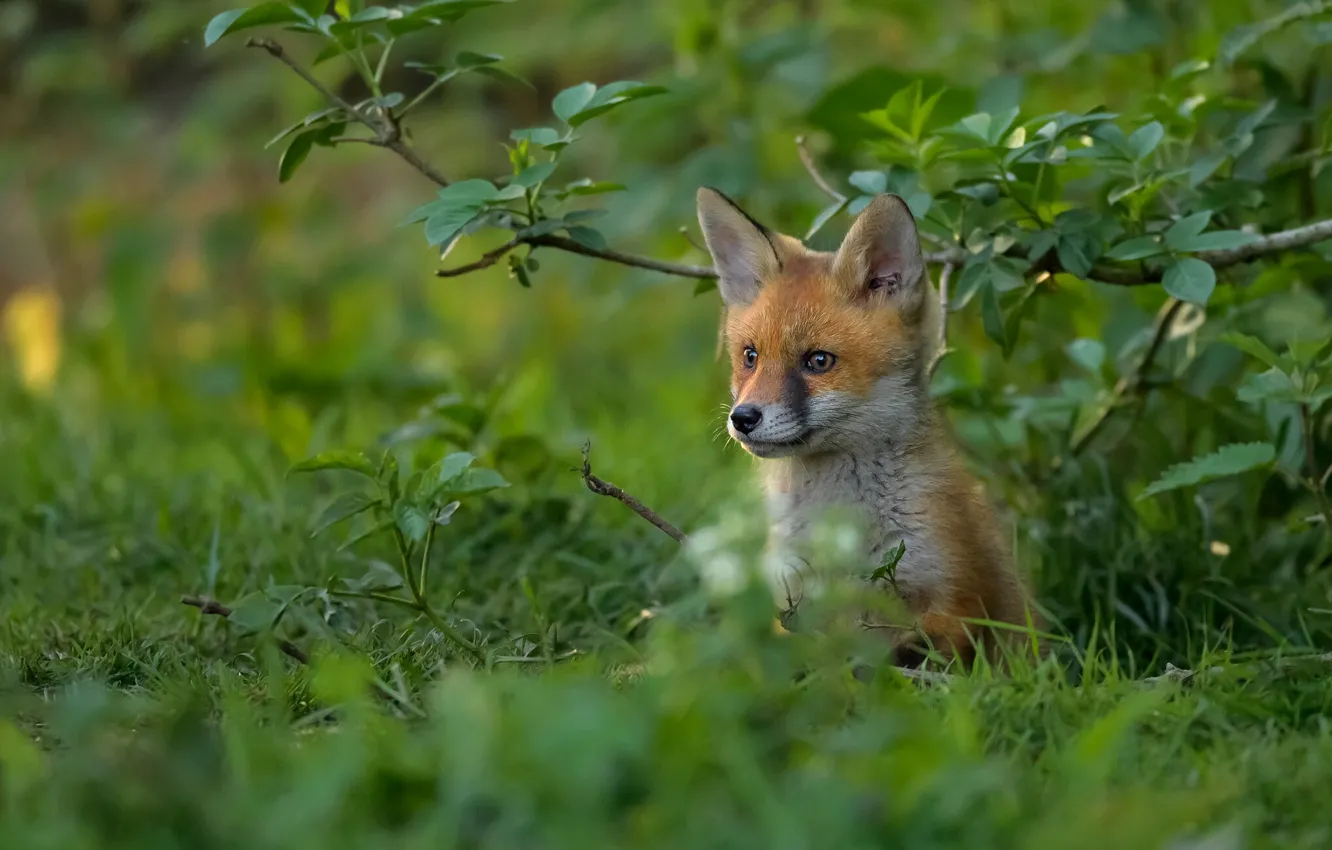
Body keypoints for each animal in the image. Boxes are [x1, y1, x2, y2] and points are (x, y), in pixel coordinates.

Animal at [695, 186, 1035, 668]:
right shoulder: (793, 601)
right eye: (750, 356)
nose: (743, 419)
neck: (841, 531)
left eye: (819, 361)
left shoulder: (954, 599)